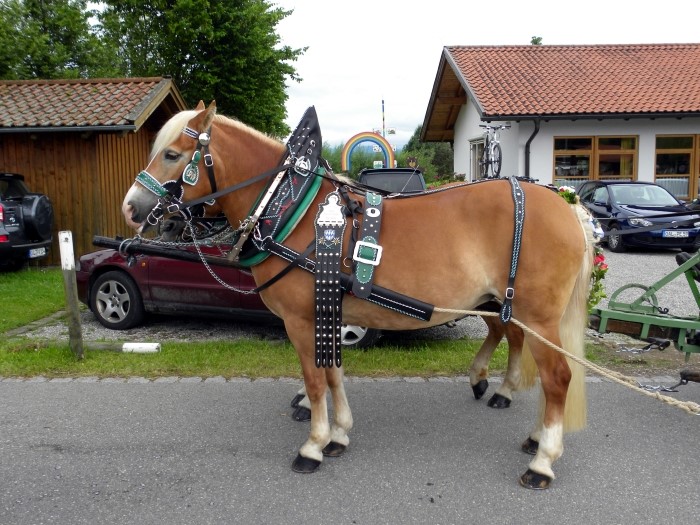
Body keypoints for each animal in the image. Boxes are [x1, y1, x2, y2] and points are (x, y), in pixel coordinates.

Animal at [122, 102, 595, 489]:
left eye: (171, 154)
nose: (131, 208)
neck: (294, 212)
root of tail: (563, 203)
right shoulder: (326, 311)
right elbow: (333, 375)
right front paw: (338, 434)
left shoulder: (301, 321)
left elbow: (315, 381)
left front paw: (313, 445)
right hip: (510, 306)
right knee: (519, 346)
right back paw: (521, 420)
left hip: (536, 314)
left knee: (557, 377)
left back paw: (542, 459)